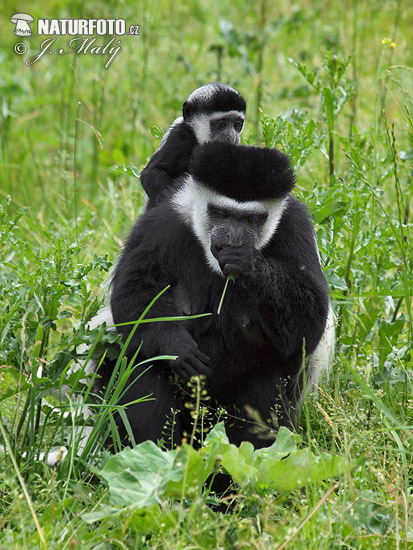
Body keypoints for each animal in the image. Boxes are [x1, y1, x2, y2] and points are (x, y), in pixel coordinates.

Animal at [104, 140, 332, 450]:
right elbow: (133, 296)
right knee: (143, 370)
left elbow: (310, 321)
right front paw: (177, 347)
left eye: (252, 218)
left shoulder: (296, 229)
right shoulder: (159, 227)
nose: (232, 240)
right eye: (221, 213)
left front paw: (248, 263)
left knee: (265, 385)